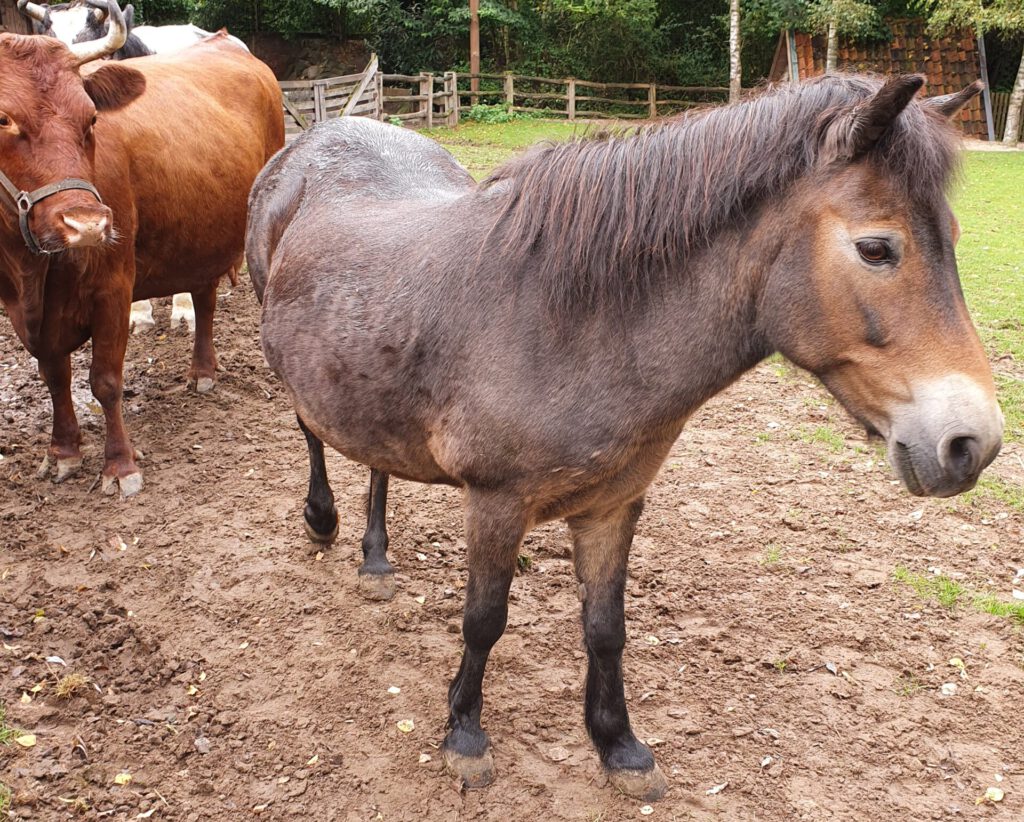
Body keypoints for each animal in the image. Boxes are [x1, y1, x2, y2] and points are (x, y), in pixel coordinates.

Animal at [0, 1, 282, 495]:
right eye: (3, 119)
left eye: (91, 117)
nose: (86, 224)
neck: (31, 272)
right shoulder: (28, 311)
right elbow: (55, 376)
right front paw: (63, 451)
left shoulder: (113, 287)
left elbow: (106, 381)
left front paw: (120, 466)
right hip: (201, 234)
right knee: (204, 299)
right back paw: (202, 372)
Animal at [245, 75, 999, 798]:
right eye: (877, 248)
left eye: (957, 237)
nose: (974, 444)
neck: (569, 321)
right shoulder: (496, 503)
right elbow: (484, 620)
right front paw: (464, 734)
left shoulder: (613, 504)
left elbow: (606, 630)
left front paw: (619, 747)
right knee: (312, 431)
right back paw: (323, 520)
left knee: (376, 459)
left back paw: (376, 558)